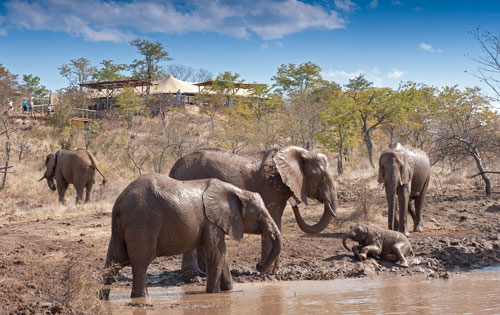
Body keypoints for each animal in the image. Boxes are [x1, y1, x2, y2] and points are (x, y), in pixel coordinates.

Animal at [100, 174, 284, 300]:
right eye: (259, 215)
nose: (258, 265)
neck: (237, 191)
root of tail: (120, 201)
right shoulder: (211, 221)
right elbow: (216, 253)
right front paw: (213, 294)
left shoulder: (210, 223)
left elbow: (221, 254)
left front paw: (228, 291)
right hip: (142, 222)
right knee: (140, 262)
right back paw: (141, 298)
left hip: (121, 227)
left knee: (115, 260)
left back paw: (102, 298)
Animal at [170, 147, 338, 276]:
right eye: (321, 177)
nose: (295, 205)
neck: (300, 153)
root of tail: (174, 168)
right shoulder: (271, 186)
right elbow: (273, 218)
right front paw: (267, 273)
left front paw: (274, 272)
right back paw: (193, 274)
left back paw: (203, 273)